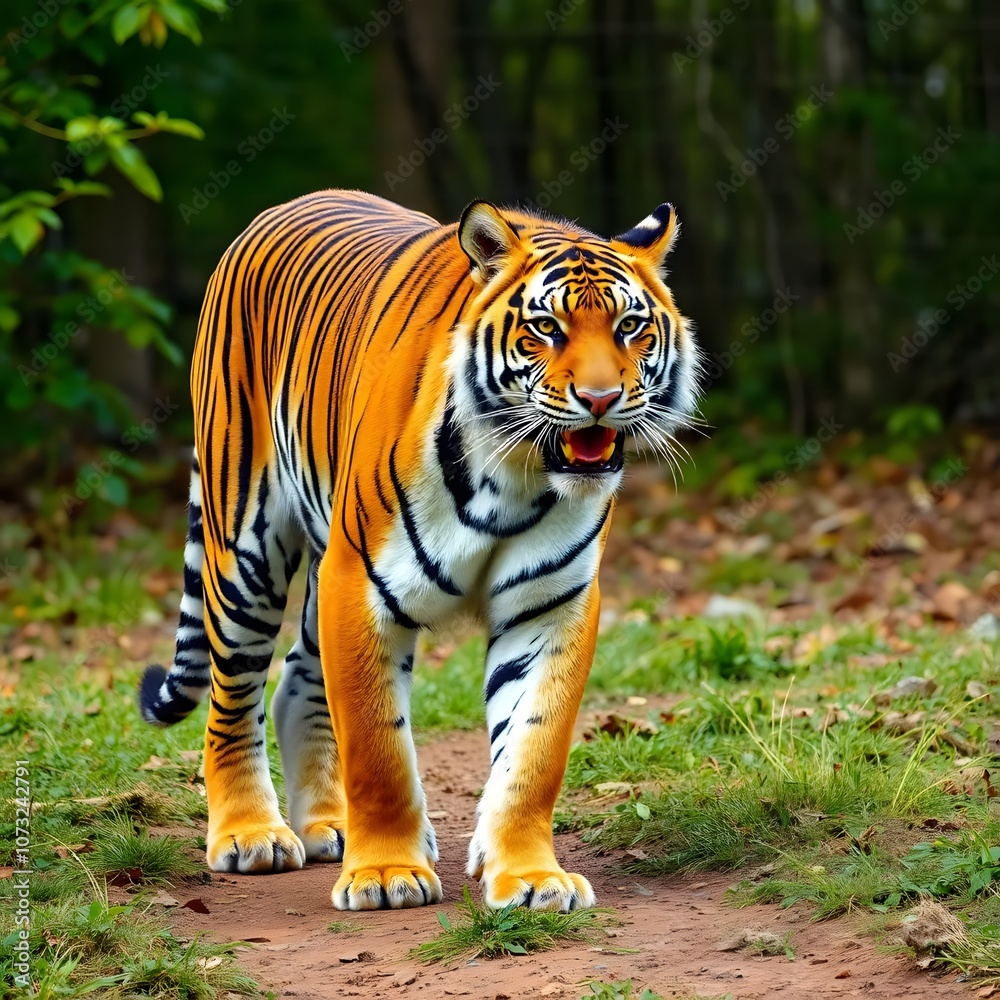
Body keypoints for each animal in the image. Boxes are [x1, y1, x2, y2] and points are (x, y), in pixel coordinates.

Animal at [139, 190, 700, 912]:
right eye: (546, 328)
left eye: (631, 327)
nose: (600, 400)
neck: (514, 476)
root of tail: (278, 209)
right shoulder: (360, 582)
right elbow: (376, 746)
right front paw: (385, 875)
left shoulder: (551, 603)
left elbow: (533, 750)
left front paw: (530, 877)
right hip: (247, 547)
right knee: (232, 693)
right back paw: (251, 835)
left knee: (297, 678)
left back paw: (328, 826)